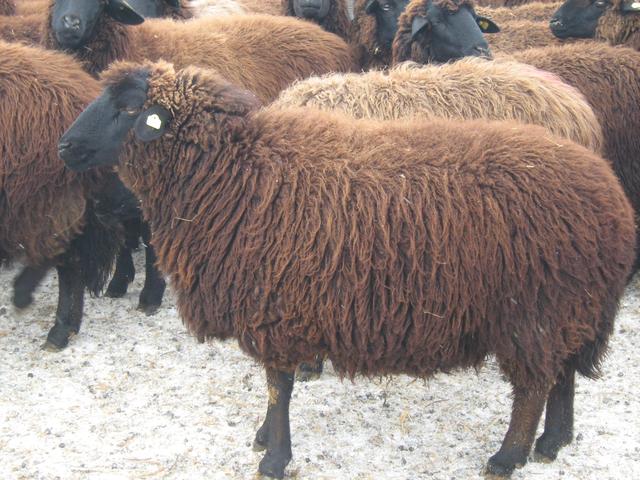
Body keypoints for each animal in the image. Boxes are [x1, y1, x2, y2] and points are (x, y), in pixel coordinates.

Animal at [60, 59, 635, 479]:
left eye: (128, 108)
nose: (65, 146)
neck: (235, 177)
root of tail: (608, 191)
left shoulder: (275, 309)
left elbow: (279, 386)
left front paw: (273, 456)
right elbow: (277, 386)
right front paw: (265, 439)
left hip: (535, 313)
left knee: (534, 388)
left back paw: (508, 456)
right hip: (568, 309)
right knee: (563, 376)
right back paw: (553, 442)